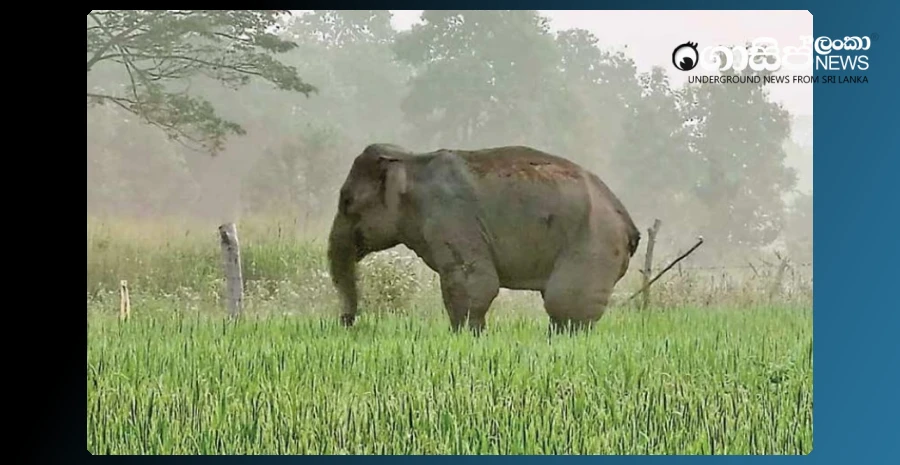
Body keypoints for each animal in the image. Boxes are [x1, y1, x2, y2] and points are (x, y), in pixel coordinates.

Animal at [327, 143, 641, 334]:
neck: (412, 160)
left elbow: (474, 283)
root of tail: (629, 223)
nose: (346, 322)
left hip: (593, 245)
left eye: (347, 201)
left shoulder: (452, 218)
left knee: (564, 305)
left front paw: (464, 337)